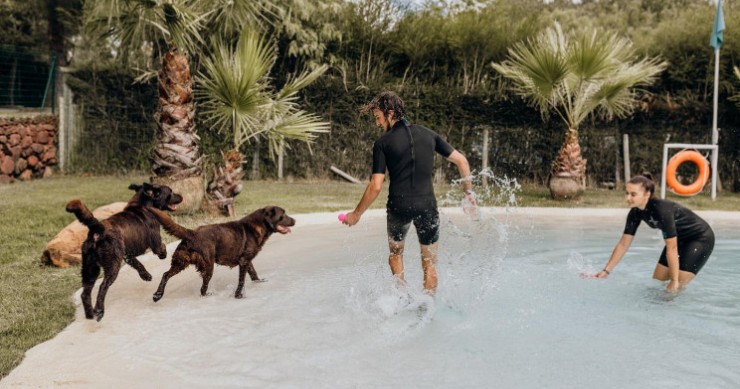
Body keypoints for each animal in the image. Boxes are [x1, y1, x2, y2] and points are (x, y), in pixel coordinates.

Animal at [66, 183, 184, 320]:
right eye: (170, 192)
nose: (181, 196)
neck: (143, 204)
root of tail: (97, 229)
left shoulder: (128, 254)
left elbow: (138, 264)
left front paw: (146, 276)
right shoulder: (155, 243)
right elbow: (162, 248)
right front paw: (163, 255)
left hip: (90, 269)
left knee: (85, 294)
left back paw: (90, 315)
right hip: (112, 266)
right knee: (103, 286)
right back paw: (99, 311)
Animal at [146, 206, 296, 300]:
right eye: (283, 215)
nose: (294, 220)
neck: (258, 226)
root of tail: (192, 233)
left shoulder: (247, 260)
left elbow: (253, 274)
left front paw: (259, 281)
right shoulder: (244, 261)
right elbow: (241, 281)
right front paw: (238, 295)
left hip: (180, 262)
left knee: (165, 274)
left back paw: (157, 295)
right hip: (208, 266)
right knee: (203, 288)